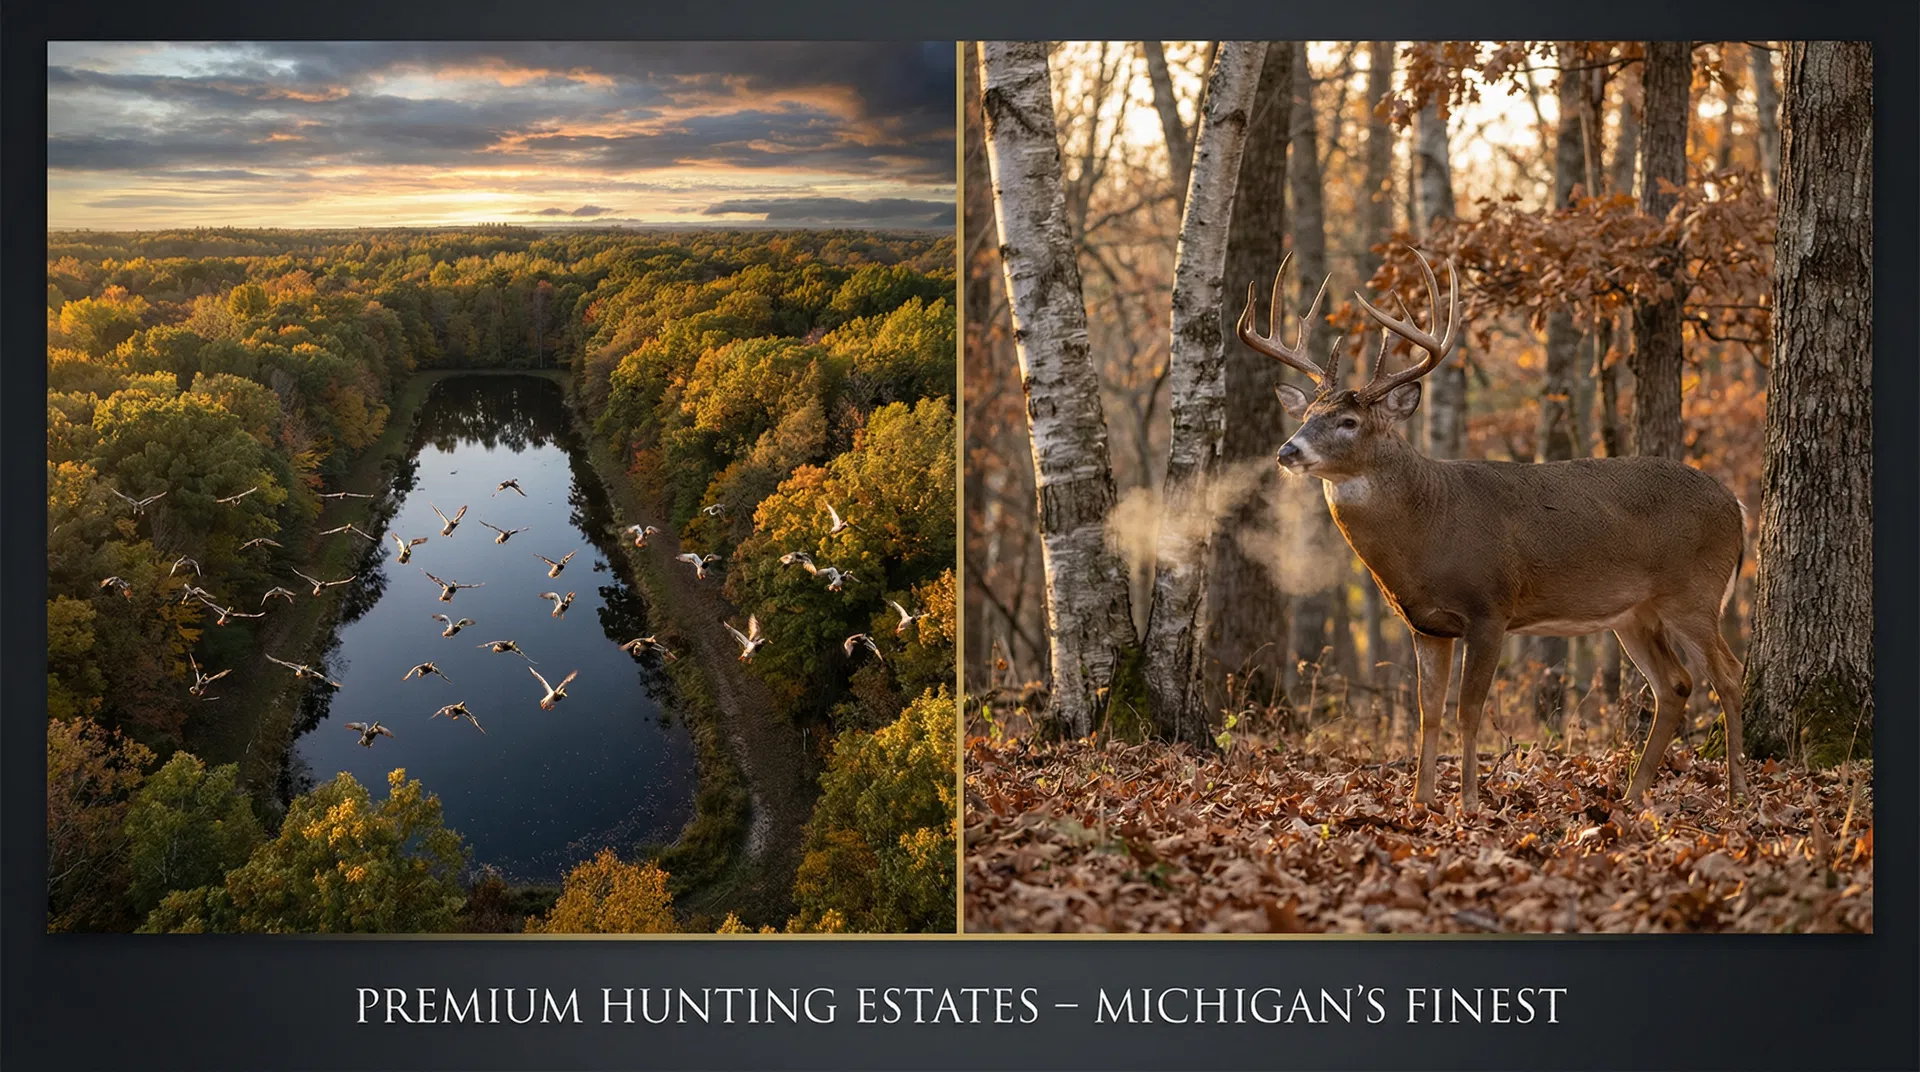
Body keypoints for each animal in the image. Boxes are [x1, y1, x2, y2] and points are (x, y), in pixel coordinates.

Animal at [1238, 248, 1748, 815]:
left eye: (1348, 421)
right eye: (1307, 413)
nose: (1288, 450)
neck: (1429, 527)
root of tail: (1736, 505)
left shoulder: (1490, 608)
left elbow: (1468, 709)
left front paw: (1468, 802)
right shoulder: (1426, 624)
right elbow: (1429, 711)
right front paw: (1419, 802)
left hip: (1694, 591)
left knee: (1728, 675)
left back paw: (1737, 793)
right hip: (1634, 613)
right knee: (1675, 684)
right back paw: (1634, 796)